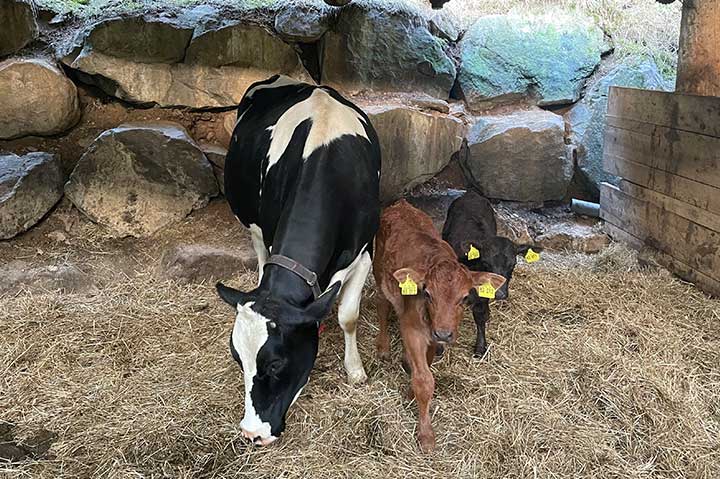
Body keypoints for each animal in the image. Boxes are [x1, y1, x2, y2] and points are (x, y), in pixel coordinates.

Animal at [214, 74, 382, 446]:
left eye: (276, 364)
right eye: (237, 359)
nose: (252, 433)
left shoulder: (365, 252)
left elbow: (349, 316)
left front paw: (356, 370)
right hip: (255, 225)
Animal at [372, 201, 506, 456]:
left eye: (465, 297)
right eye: (427, 294)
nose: (444, 333)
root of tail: (400, 203)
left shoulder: (434, 339)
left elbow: (426, 366)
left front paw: (409, 391)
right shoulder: (412, 330)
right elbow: (424, 381)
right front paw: (426, 436)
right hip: (379, 271)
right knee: (382, 304)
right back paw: (383, 347)